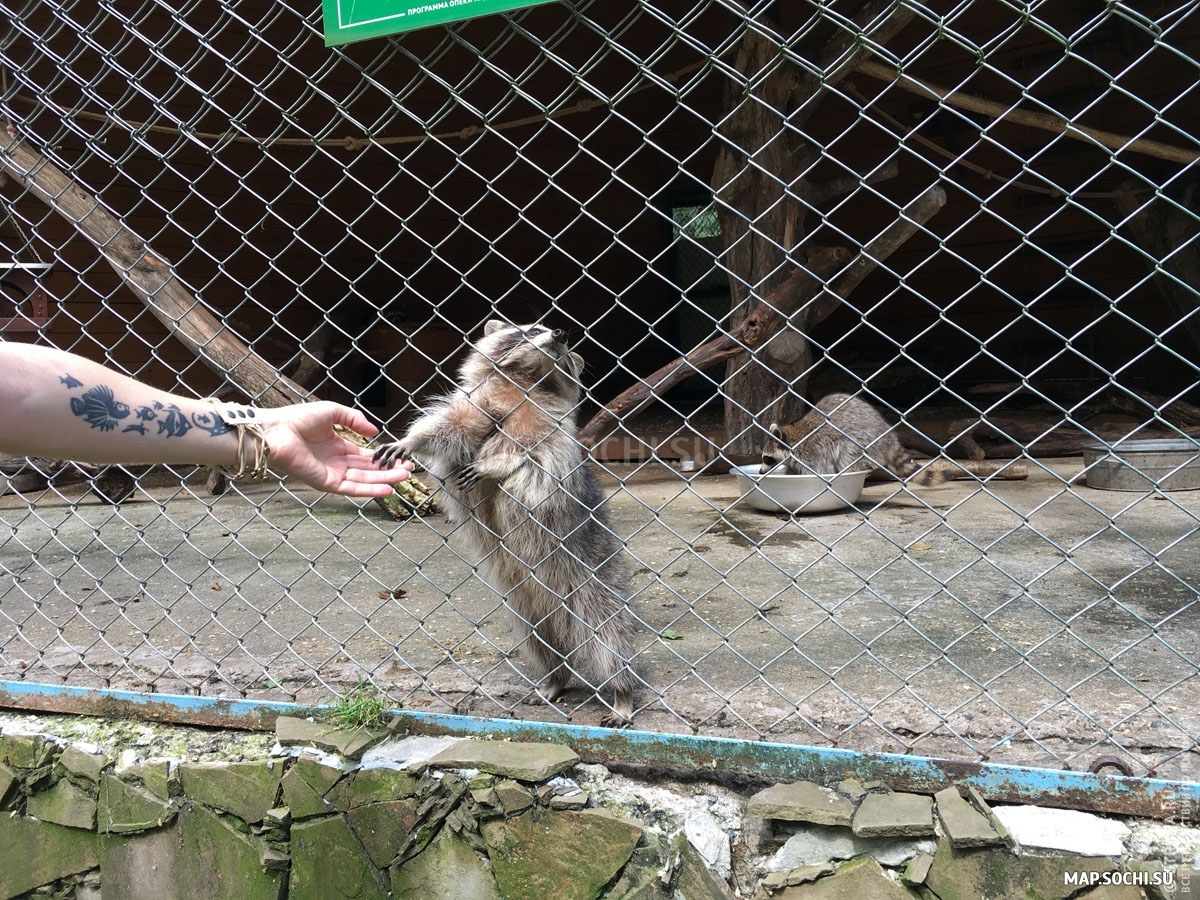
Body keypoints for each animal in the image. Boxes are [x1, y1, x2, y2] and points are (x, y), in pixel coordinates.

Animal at [374, 321, 643, 729]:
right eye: (532, 329)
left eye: (564, 345)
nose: (561, 333)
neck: (528, 380)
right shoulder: (479, 403)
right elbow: (449, 427)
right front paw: (411, 440)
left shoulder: (551, 432)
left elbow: (531, 456)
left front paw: (495, 466)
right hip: (519, 599)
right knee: (538, 640)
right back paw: (554, 678)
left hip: (592, 575)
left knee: (608, 633)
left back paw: (621, 691)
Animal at [758, 391, 945, 482]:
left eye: (767, 458)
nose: (760, 471)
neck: (792, 437)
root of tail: (886, 435)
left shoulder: (811, 452)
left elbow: (814, 470)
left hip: (861, 441)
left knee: (848, 456)